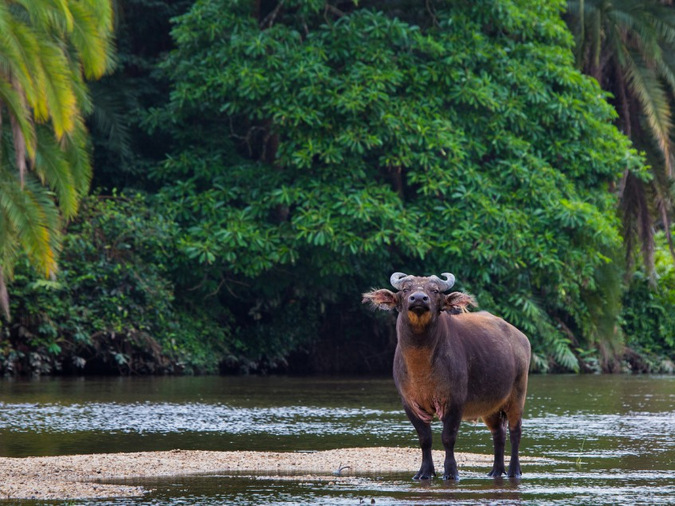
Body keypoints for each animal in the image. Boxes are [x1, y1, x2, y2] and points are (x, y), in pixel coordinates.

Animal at [362, 274, 532, 480]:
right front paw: (425, 472)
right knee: (498, 433)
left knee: (515, 432)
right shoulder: (409, 403)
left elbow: (448, 438)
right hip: (491, 406)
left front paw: (451, 472)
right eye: (405, 289)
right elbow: (425, 439)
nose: (419, 299)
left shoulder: (454, 402)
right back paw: (496, 471)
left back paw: (514, 471)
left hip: (518, 394)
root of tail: (521, 338)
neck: (421, 366)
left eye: (434, 290)